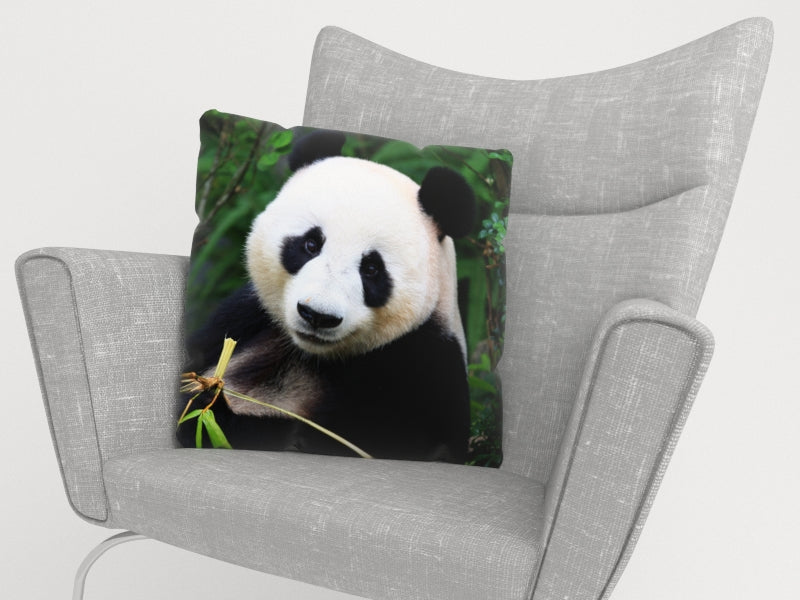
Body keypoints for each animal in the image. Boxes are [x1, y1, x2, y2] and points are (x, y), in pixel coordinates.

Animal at [179, 131, 476, 463]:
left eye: (372, 268)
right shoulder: (245, 317)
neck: (311, 355)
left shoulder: (420, 368)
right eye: (311, 244)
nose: (318, 316)